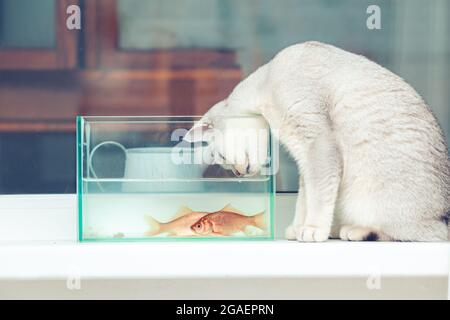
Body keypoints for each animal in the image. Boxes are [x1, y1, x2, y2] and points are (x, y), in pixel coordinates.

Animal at [184, 41, 450, 241]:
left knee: (413, 234)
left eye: (222, 158)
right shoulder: (304, 158)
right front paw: (297, 228)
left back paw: (354, 230)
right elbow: (305, 198)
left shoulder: (317, 144)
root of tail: (442, 215)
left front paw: (313, 230)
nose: (237, 174)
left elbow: (318, 196)